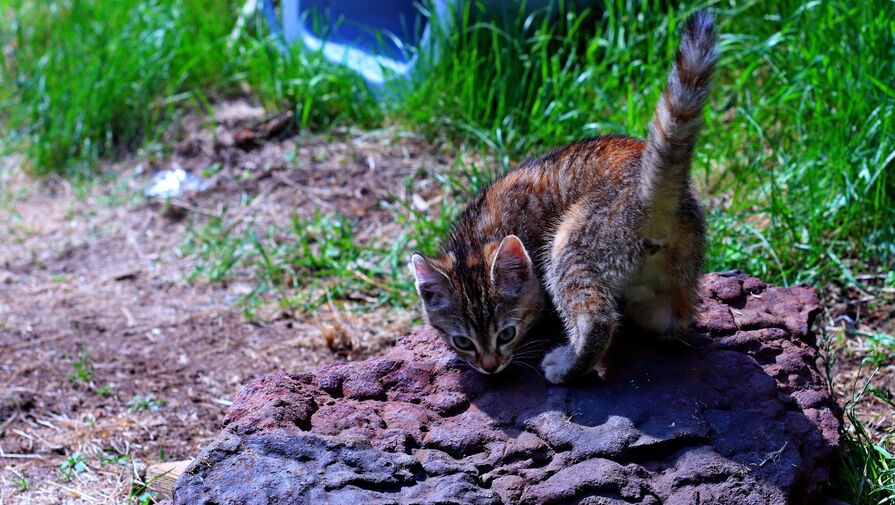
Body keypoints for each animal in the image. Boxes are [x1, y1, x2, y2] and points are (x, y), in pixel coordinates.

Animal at [410, 10, 716, 382]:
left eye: (507, 334)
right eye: (462, 341)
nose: (490, 367)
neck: (474, 239)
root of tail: (652, 189)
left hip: (573, 244)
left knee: (597, 318)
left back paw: (569, 364)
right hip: (679, 263)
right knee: (673, 319)